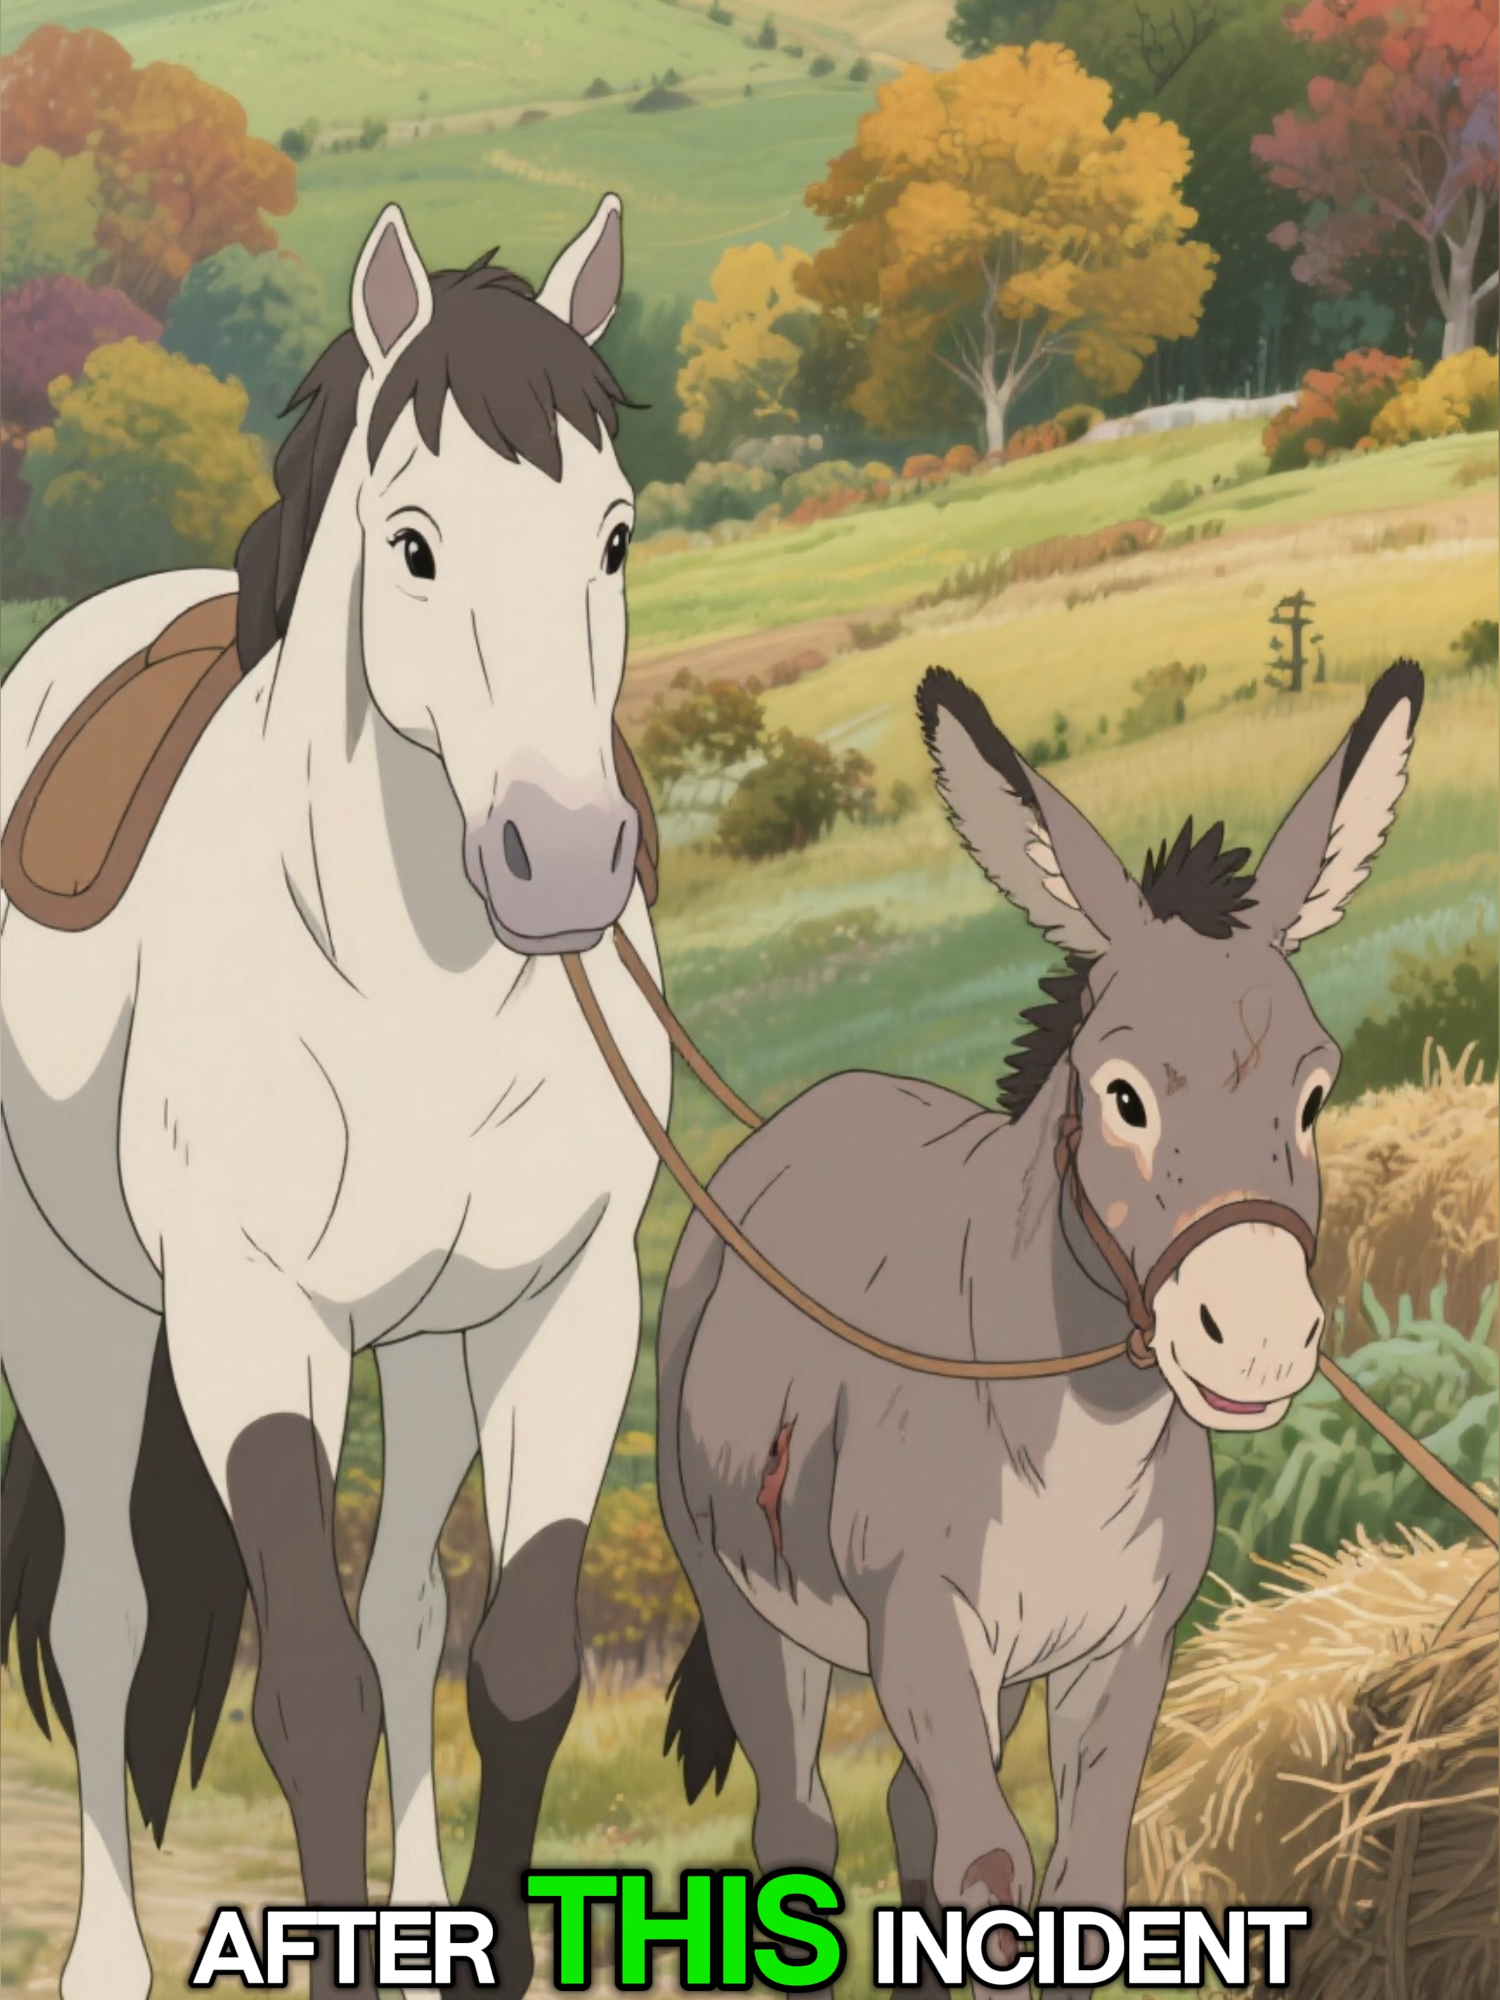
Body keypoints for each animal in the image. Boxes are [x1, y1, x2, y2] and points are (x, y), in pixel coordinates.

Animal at [0, 196, 671, 2000]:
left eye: (614, 539)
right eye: (416, 546)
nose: (565, 861)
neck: (413, 984)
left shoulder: (566, 1308)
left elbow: (511, 1664)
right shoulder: (250, 1321)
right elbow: (310, 1693)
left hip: (428, 1343)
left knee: (411, 1616)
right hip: (74, 1313)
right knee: (104, 1620)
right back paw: (104, 1963)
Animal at [656, 661, 1423, 1996]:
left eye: (1316, 1092)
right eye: (1124, 1097)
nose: (1257, 1339)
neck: (1085, 1443)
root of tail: (807, 1112)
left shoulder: (1120, 1645)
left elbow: (1079, 1883)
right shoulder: (924, 1628)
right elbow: (989, 1873)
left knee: (907, 1816)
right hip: (747, 1596)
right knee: (799, 1825)